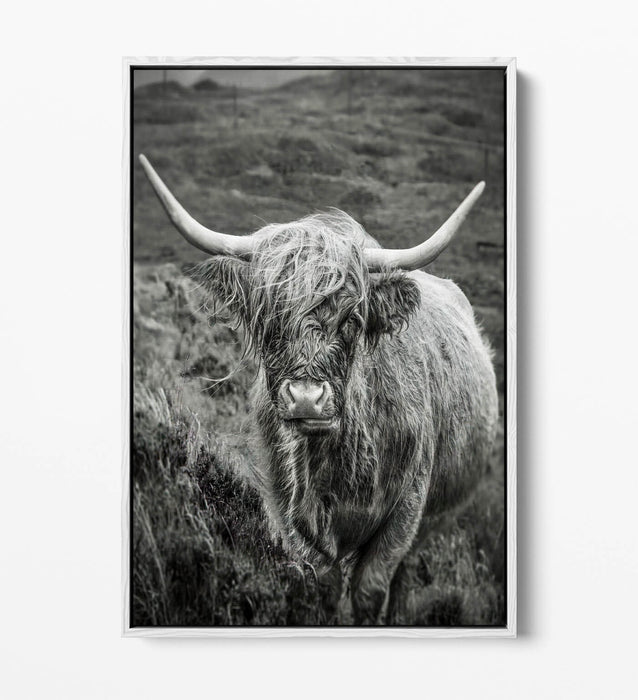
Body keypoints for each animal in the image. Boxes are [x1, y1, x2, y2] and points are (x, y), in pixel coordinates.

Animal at [138, 154, 499, 625]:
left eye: (352, 319)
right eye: (268, 319)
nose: (307, 398)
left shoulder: (406, 509)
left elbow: (372, 587)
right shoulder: (288, 511)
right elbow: (322, 585)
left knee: (405, 575)